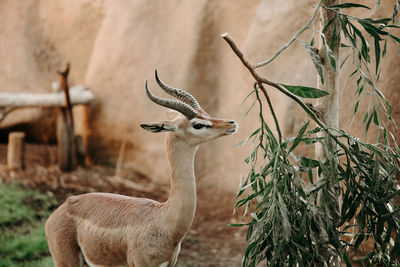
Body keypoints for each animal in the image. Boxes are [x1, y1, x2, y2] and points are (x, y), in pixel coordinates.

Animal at [44, 70, 238, 266]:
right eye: (197, 124)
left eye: (205, 113)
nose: (231, 123)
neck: (163, 218)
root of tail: (61, 209)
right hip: (66, 262)